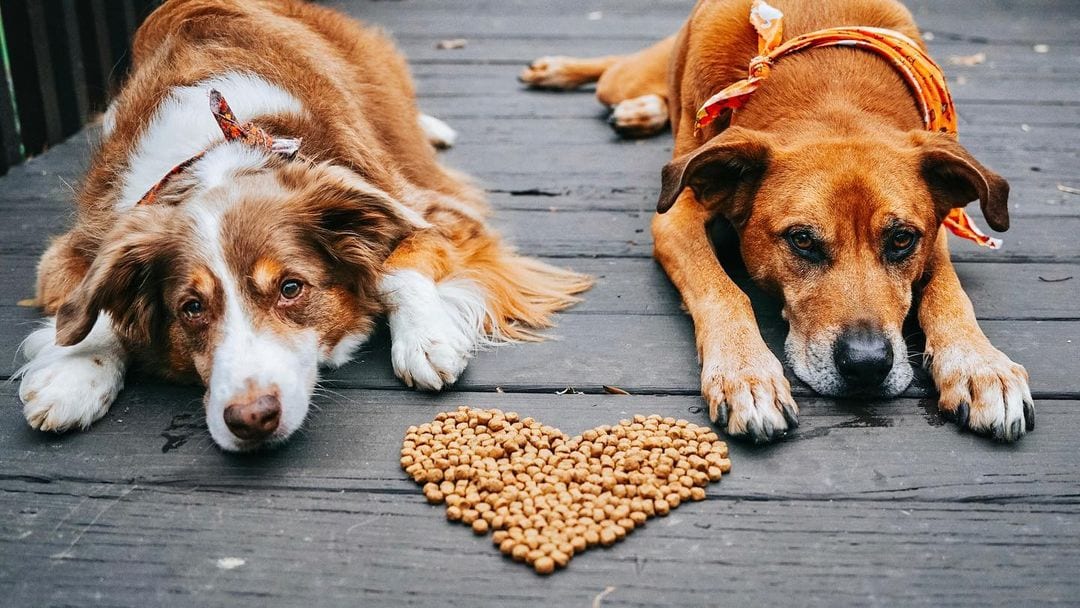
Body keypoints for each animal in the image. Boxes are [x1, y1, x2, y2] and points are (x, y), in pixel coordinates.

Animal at [16, 0, 591, 451]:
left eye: (291, 288)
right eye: (191, 309)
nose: (251, 420)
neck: (222, 150)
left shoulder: (434, 210)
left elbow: (395, 266)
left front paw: (426, 339)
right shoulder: (73, 247)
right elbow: (88, 304)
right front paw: (72, 374)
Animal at [522, 0, 1036, 442]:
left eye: (902, 240)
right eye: (802, 240)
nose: (867, 365)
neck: (832, 86)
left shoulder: (938, 228)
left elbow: (950, 291)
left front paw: (980, 364)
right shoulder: (677, 214)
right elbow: (724, 292)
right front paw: (747, 374)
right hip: (625, 79)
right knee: (616, 68)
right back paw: (563, 71)